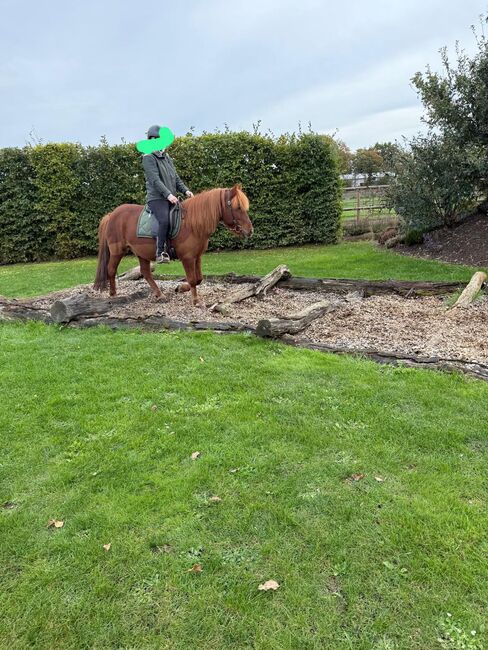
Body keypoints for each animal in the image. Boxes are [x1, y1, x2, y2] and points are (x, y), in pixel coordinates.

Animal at [93, 185, 253, 306]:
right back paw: (113, 293)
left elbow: (199, 279)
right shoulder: (187, 258)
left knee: (145, 272)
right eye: (238, 207)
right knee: (111, 270)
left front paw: (180, 288)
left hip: (141, 252)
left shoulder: (197, 257)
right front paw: (195, 301)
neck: (192, 223)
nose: (250, 230)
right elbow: (193, 279)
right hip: (117, 251)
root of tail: (111, 214)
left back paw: (159, 294)